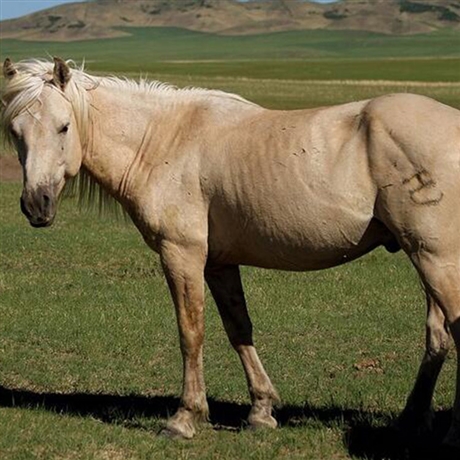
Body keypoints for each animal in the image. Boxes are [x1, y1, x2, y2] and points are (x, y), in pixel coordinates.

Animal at [0, 57, 460, 450]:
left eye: (63, 127)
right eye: (16, 132)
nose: (37, 204)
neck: (162, 141)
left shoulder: (181, 254)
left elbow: (191, 333)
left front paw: (184, 418)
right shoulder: (219, 264)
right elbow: (238, 328)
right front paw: (261, 412)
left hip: (437, 259)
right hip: (423, 259)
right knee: (437, 337)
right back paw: (412, 420)